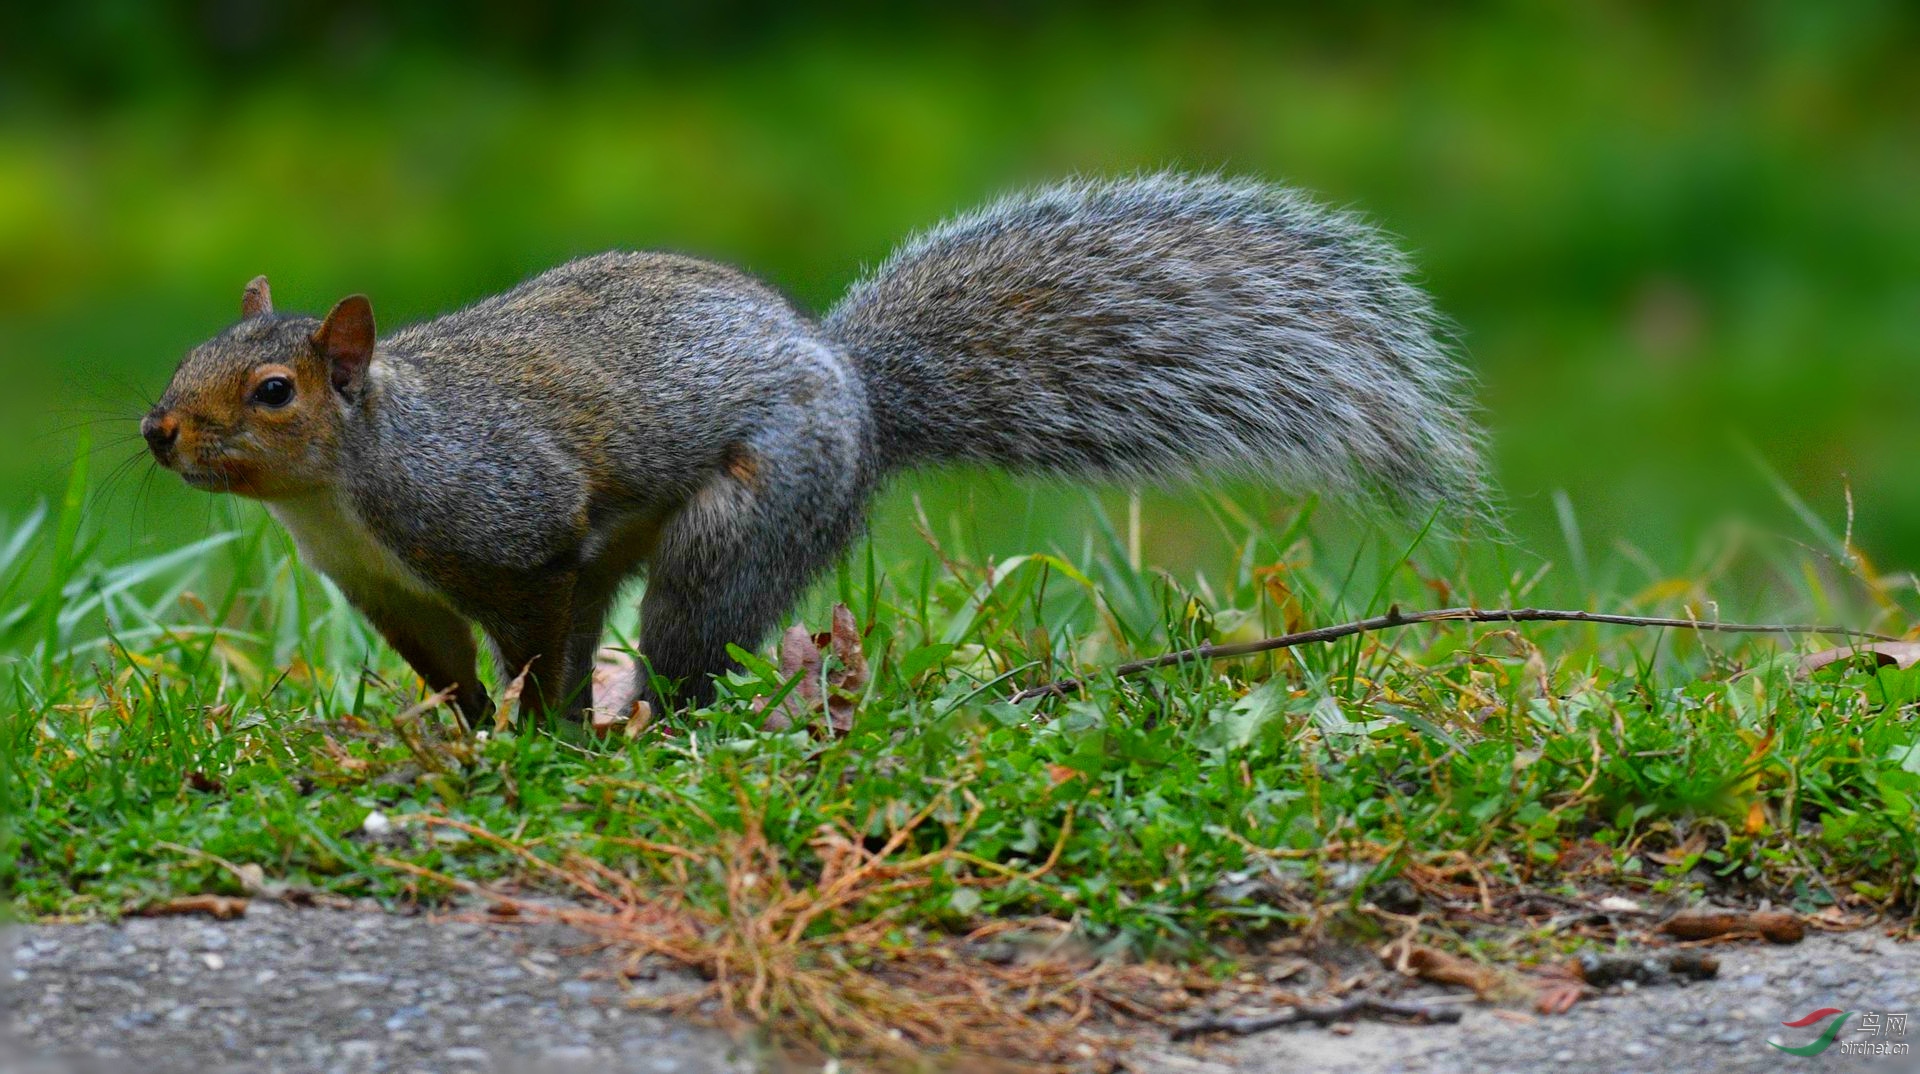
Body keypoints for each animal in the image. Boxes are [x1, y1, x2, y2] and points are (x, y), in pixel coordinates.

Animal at [142, 174, 1482, 730]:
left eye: (272, 391)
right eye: (189, 350)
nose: (158, 432)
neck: (343, 489)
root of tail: (862, 396)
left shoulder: (507, 528)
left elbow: (527, 636)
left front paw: (523, 735)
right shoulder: (386, 589)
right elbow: (446, 665)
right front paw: (469, 731)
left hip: (746, 521)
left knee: (690, 643)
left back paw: (639, 720)